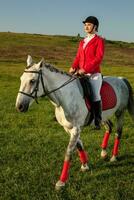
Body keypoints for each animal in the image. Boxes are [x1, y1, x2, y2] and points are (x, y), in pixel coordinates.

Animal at [15, 55, 134, 190]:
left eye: (32, 81)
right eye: (21, 79)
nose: (19, 106)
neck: (64, 97)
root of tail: (121, 79)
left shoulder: (76, 128)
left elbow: (68, 152)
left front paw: (61, 182)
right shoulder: (68, 128)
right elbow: (79, 146)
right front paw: (85, 165)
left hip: (120, 112)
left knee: (118, 132)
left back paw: (114, 156)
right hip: (103, 116)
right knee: (109, 127)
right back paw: (104, 153)